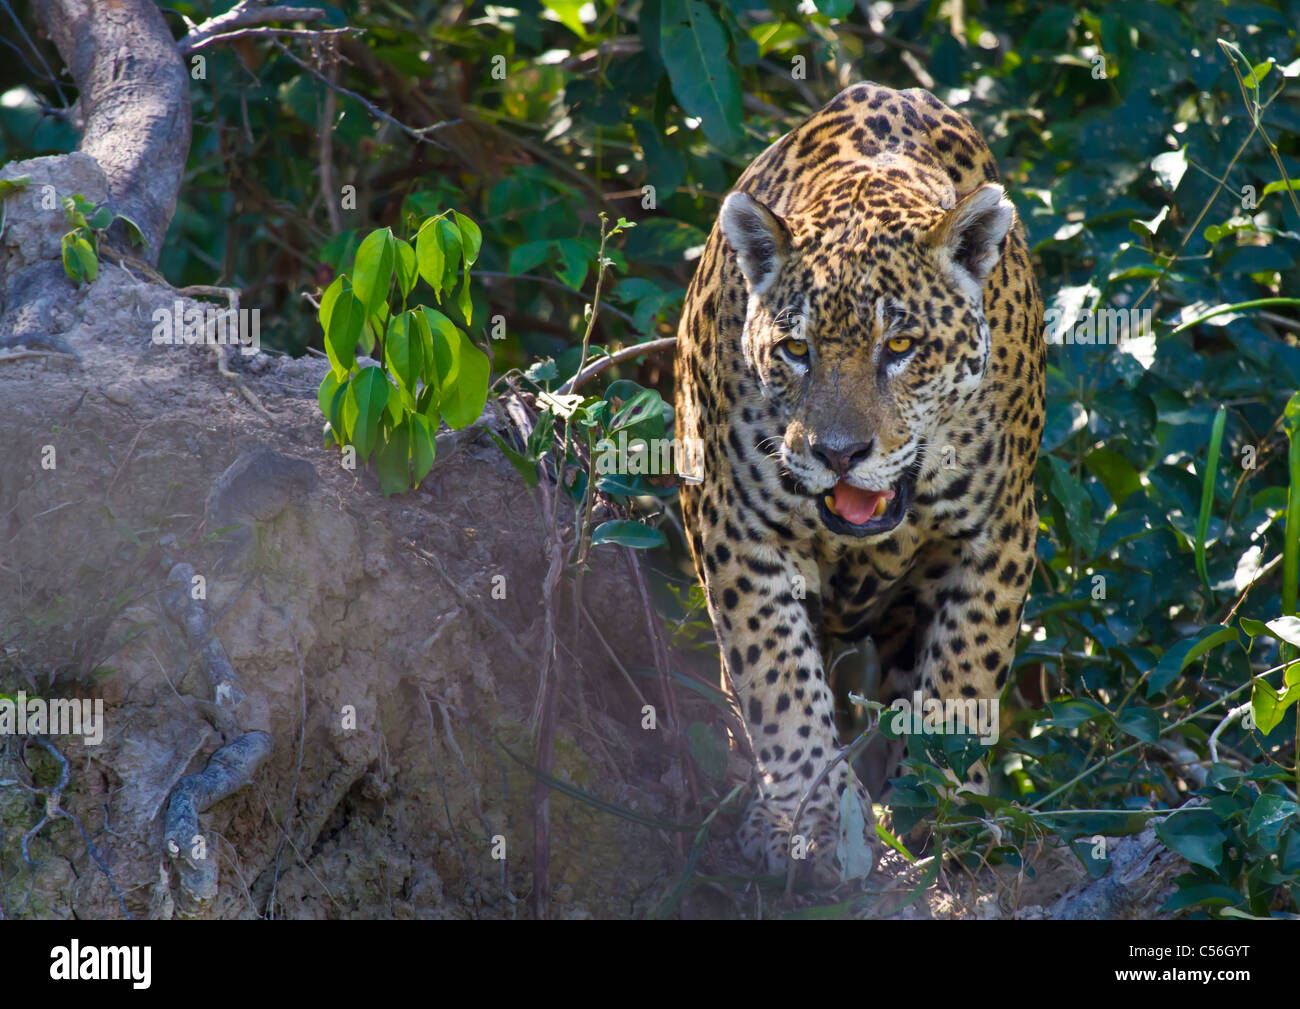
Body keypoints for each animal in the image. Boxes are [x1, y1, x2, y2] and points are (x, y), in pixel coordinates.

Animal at [673, 82, 1045, 880]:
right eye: (795, 350)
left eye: (900, 345)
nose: (839, 452)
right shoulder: (736, 528)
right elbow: (777, 676)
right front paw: (811, 819)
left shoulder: (999, 532)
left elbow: (964, 675)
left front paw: (946, 808)